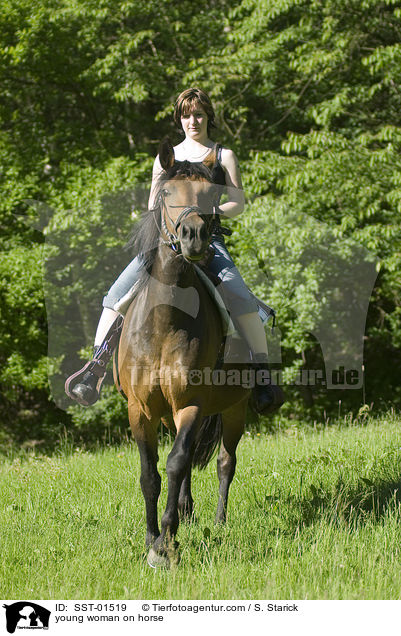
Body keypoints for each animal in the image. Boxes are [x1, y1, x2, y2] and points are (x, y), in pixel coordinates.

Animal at [117, 138, 252, 568]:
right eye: (165, 194)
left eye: (210, 194)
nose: (194, 235)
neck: (165, 321)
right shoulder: (141, 410)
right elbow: (150, 474)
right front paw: (150, 537)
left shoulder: (191, 403)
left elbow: (175, 463)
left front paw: (166, 544)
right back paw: (187, 511)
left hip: (234, 409)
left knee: (224, 463)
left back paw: (218, 520)